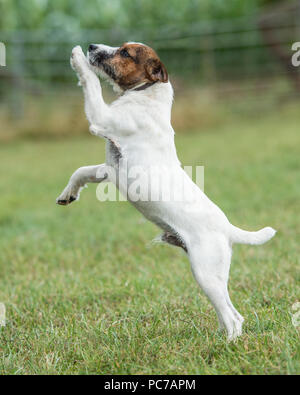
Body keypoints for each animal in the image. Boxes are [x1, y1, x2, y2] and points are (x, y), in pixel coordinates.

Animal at [55, 42, 276, 340]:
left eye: (125, 53)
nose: (92, 46)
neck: (147, 96)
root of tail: (228, 229)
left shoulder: (102, 119)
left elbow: (90, 82)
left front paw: (77, 57)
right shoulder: (109, 168)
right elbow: (81, 171)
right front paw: (68, 194)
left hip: (205, 272)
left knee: (234, 317)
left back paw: (227, 343)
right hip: (213, 275)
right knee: (229, 312)